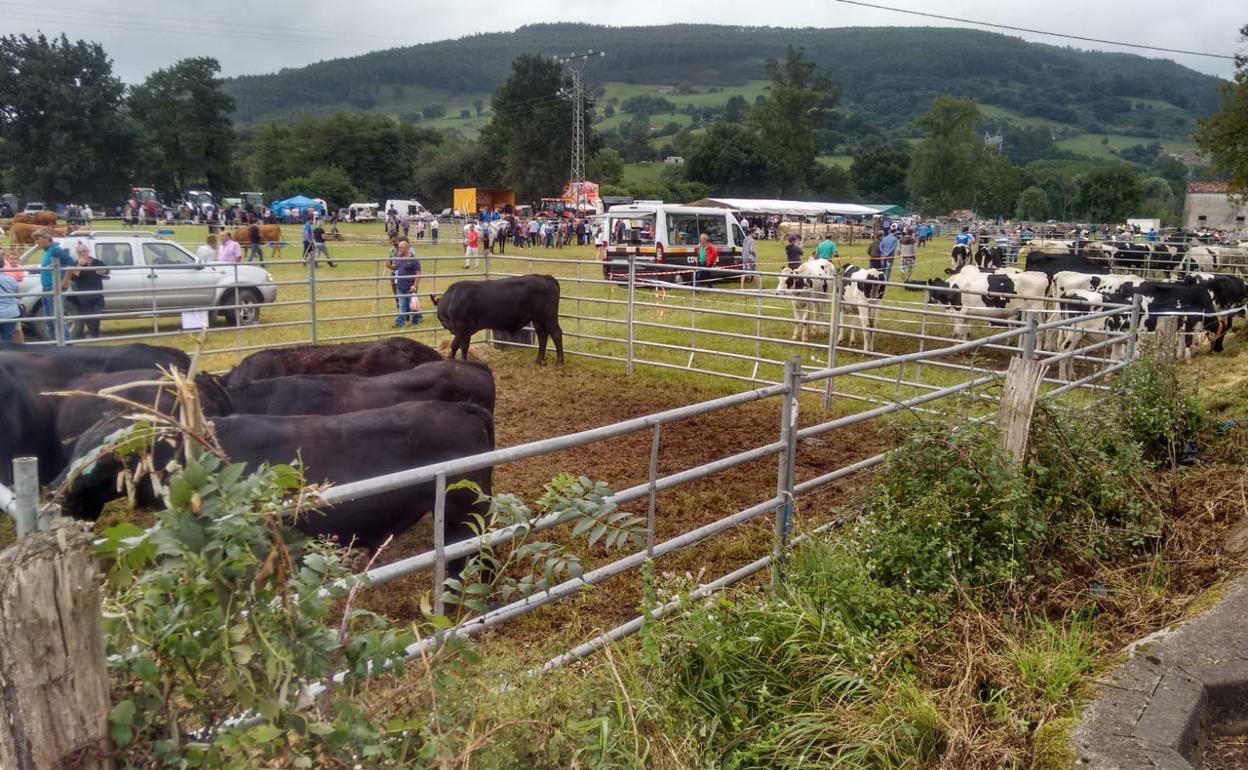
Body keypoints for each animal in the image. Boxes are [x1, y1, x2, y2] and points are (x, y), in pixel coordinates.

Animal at [431, 273, 564, 364]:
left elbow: (463, 346)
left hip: (549, 317)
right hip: (538, 320)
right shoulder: (461, 330)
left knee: (556, 334)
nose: (443, 322)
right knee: (542, 335)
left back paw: (559, 362)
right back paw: (539, 360)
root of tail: (547, 277)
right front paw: (450, 359)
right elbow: (454, 344)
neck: (452, 299)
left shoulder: (463, 326)